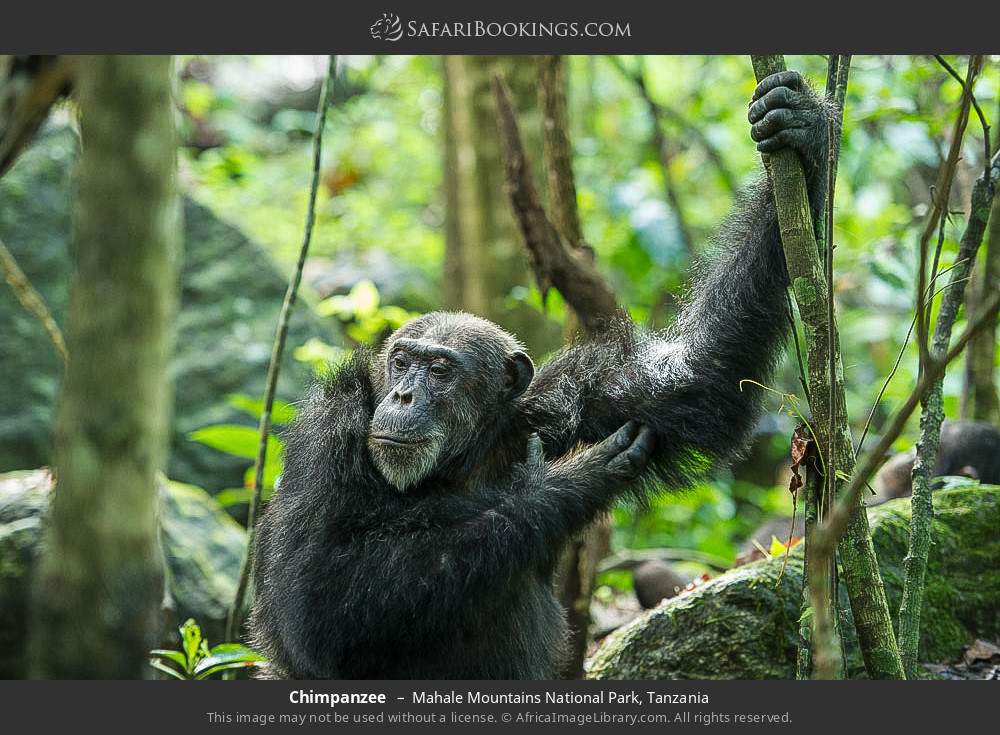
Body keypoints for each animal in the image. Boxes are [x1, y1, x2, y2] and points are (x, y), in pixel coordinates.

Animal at [248, 70, 833, 679]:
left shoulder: (571, 402)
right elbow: (319, 593)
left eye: (441, 369)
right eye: (402, 362)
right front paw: (566, 483)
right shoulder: (326, 437)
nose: (405, 394)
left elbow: (703, 374)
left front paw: (802, 125)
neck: (460, 459)